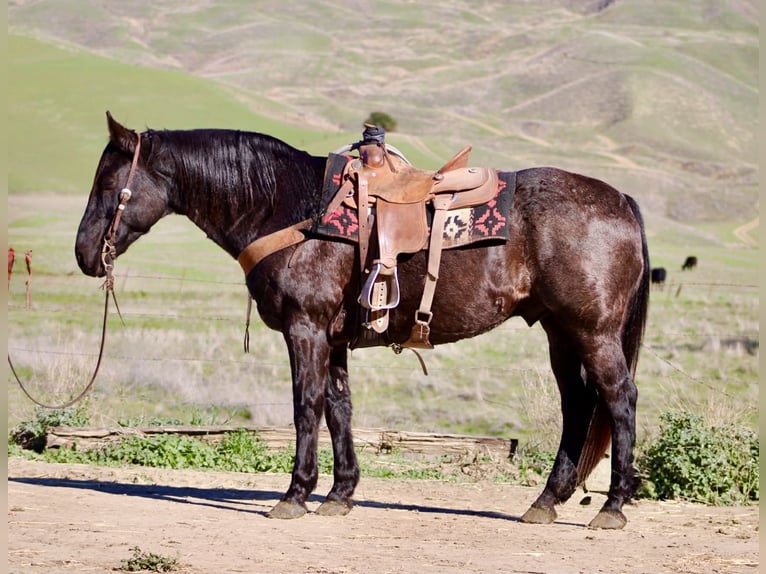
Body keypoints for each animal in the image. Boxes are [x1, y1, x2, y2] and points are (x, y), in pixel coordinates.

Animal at [75, 112, 650, 529]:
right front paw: (340, 493)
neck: (292, 207)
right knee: (577, 406)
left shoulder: (305, 329)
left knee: (619, 398)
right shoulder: (332, 338)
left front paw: (295, 494)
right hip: (560, 333)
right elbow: (339, 408)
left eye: (109, 182)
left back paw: (612, 507)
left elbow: (306, 406)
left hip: (593, 332)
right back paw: (546, 502)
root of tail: (620, 200)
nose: (84, 253)